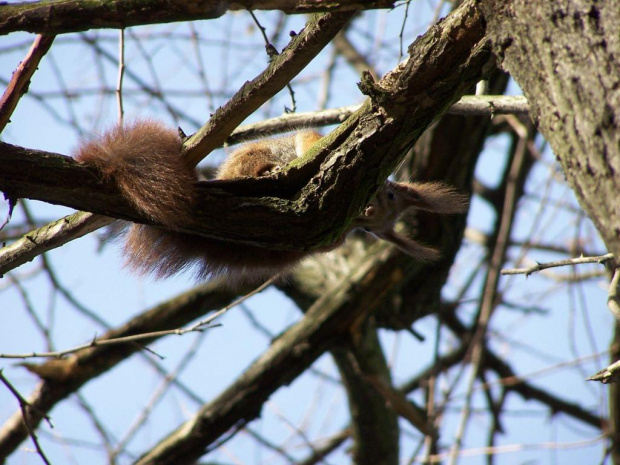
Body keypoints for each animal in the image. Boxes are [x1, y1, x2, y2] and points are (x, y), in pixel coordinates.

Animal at [75, 118, 468, 286]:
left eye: (370, 229)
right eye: (388, 194)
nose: (369, 210)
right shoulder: (314, 139)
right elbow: (311, 141)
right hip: (249, 157)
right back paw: (270, 169)